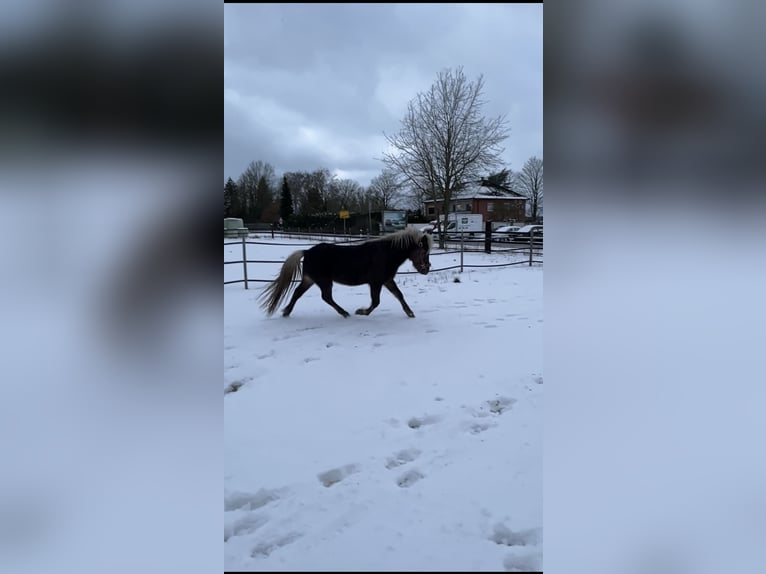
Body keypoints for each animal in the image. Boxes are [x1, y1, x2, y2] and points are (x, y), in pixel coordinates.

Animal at [258, 228, 433, 318]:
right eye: (424, 251)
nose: (427, 269)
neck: (385, 254)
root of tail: (306, 252)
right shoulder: (376, 283)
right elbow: (376, 302)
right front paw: (362, 312)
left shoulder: (387, 281)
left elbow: (399, 295)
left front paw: (410, 313)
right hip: (324, 281)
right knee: (326, 297)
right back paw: (344, 313)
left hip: (310, 280)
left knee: (297, 293)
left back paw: (286, 312)